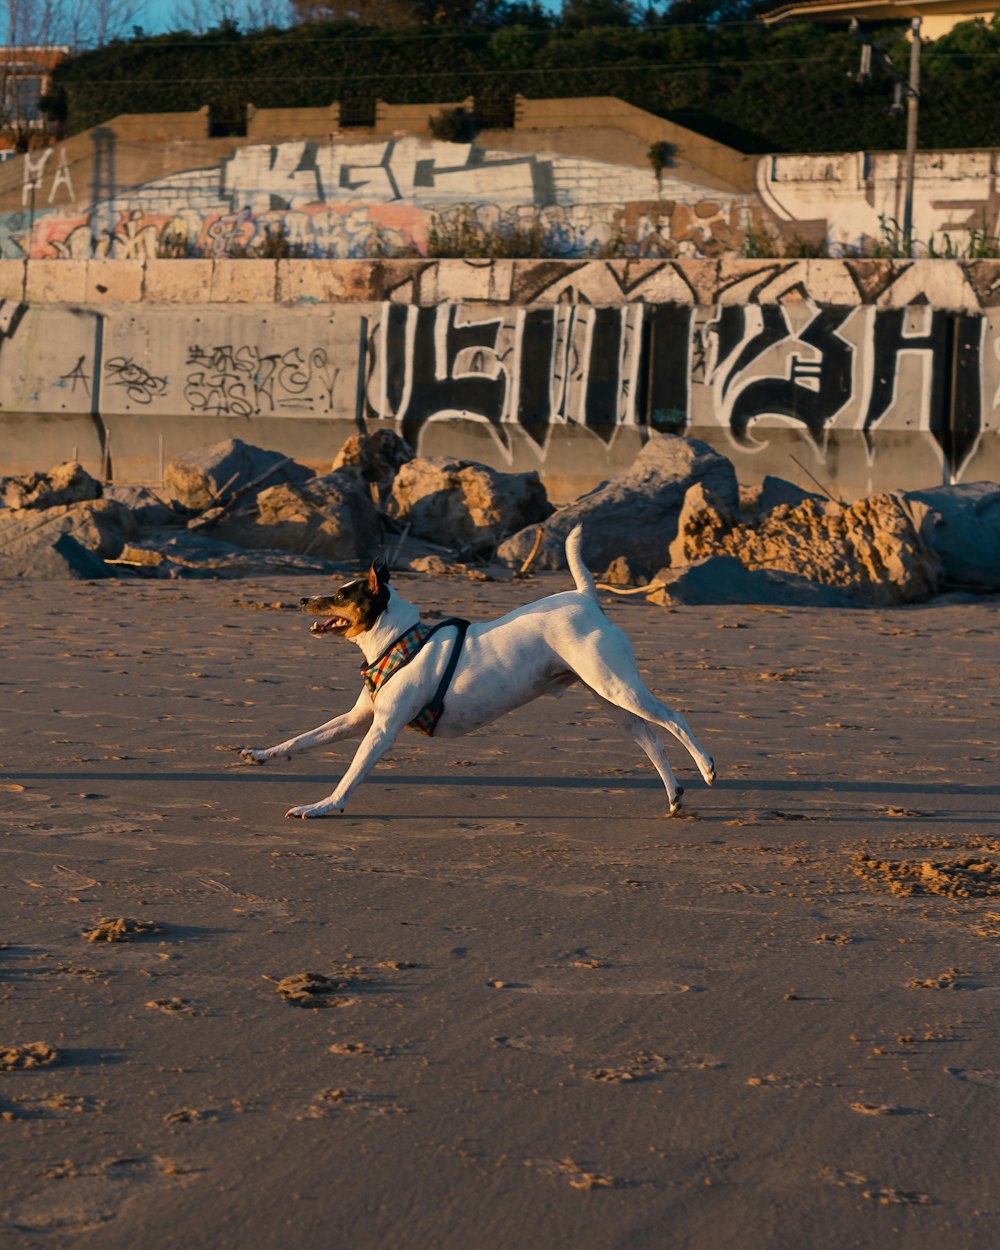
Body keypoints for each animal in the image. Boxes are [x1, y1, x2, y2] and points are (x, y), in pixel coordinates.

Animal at [238, 525, 715, 820]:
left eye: (340, 594)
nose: (302, 600)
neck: (397, 639)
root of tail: (585, 598)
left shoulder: (382, 730)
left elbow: (350, 776)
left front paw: (323, 806)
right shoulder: (357, 720)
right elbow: (302, 739)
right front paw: (262, 754)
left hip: (618, 687)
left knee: (674, 719)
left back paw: (707, 767)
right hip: (610, 698)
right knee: (652, 741)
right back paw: (674, 796)